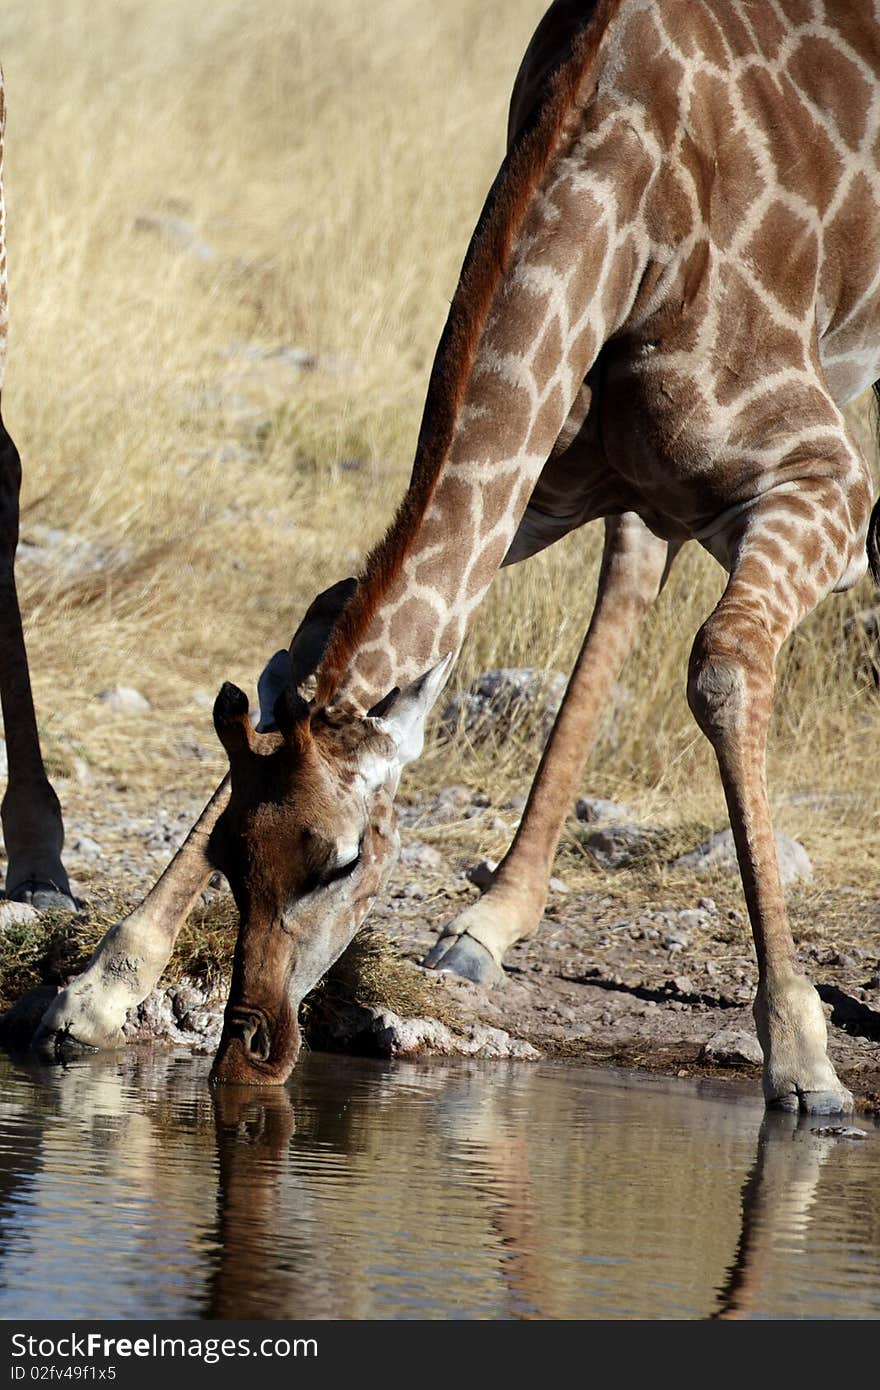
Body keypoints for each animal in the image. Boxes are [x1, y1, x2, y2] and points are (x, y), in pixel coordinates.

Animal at [39, 0, 878, 1106]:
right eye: (228, 853)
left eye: (341, 861)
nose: (248, 1053)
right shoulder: (539, 483)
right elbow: (327, 621)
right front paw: (99, 986)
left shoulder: (823, 479)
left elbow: (723, 665)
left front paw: (802, 1055)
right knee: (629, 573)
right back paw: (491, 920)